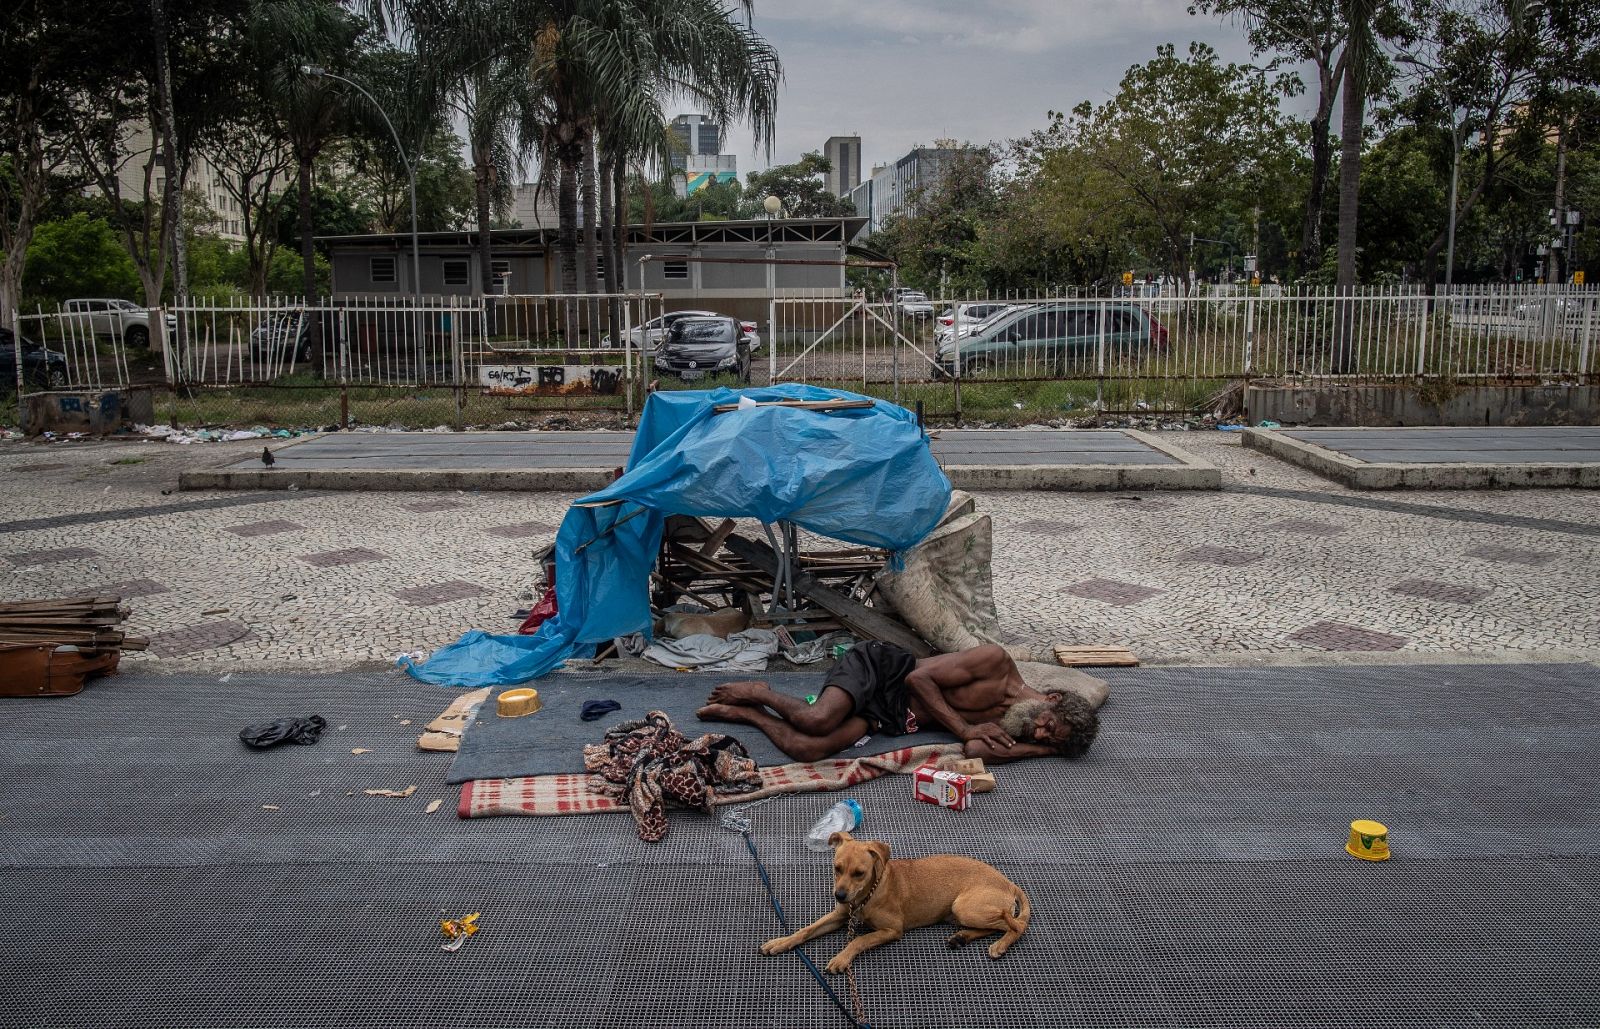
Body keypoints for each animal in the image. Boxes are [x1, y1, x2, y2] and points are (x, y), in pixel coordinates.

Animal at [755, 832, 1030, 972]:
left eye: (859, 873)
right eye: (836, 868)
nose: (839, 896)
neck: (866, 896)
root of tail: (1009, 882)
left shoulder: (892, 930)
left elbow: (859, 940)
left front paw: (842, 958)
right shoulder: (840, 915)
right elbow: (806, 930)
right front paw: (781, 942)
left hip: (965, 907)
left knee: (1015, 925)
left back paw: (1000, 945)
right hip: (962, 912)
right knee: (999, 924)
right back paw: (961, 937)